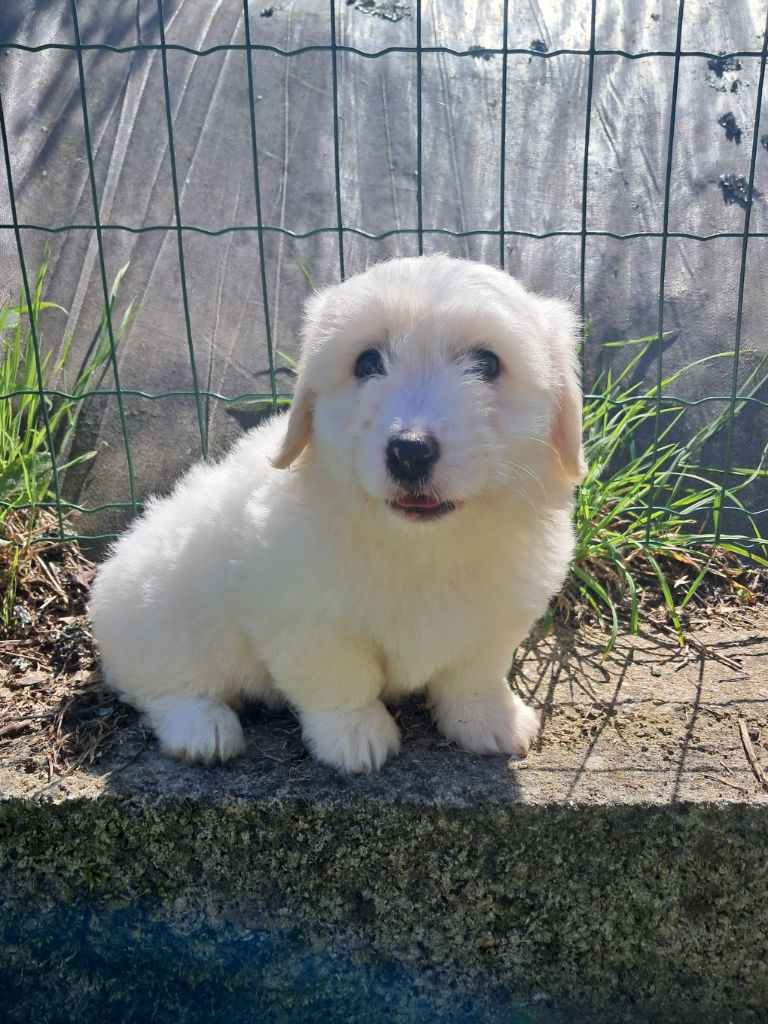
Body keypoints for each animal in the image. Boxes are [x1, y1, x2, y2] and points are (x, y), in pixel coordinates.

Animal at [89, 254, 586, 773]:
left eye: (487, 364)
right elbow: (338, 678)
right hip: (155, 615)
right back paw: (202, 729)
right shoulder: (302, 616)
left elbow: (474, 675)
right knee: (162, 687)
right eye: (367, 363)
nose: (409, 451)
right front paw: (354, 735)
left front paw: (490, 720)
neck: (420, 546)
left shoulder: (494, 618)